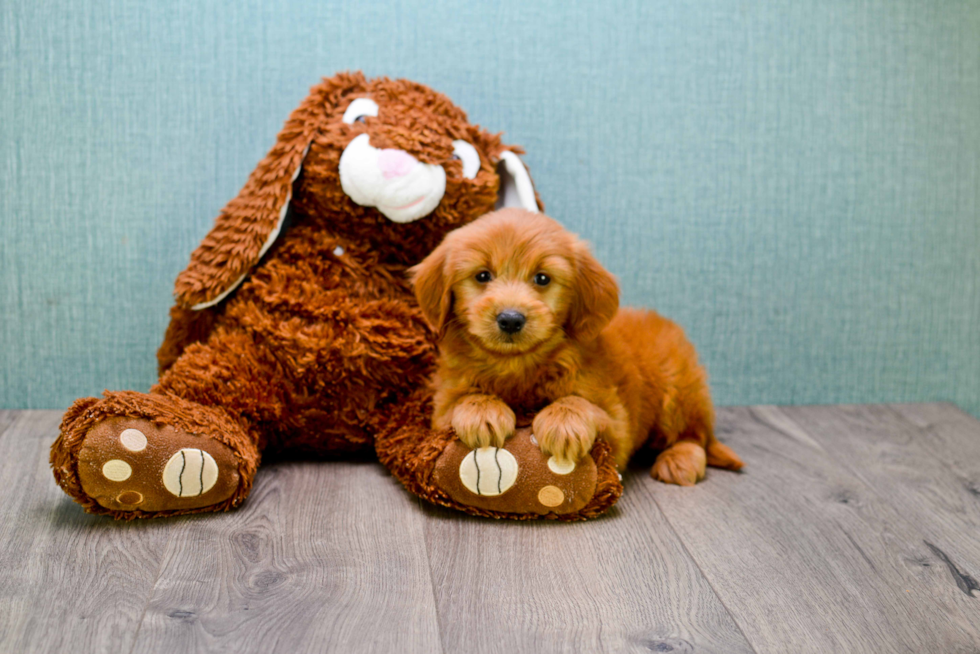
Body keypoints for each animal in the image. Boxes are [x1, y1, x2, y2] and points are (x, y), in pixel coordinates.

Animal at [408, 210, 744, 486]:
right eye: (482, 275)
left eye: (542, 278)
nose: (511, 319)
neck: (517, 366)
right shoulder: (440, 410)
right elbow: (463, 399)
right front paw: (482, 411)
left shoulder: (618, 425)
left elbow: (581, 403)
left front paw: (563, 423)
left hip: (679, 393)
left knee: (695, 437)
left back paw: (680, 460)